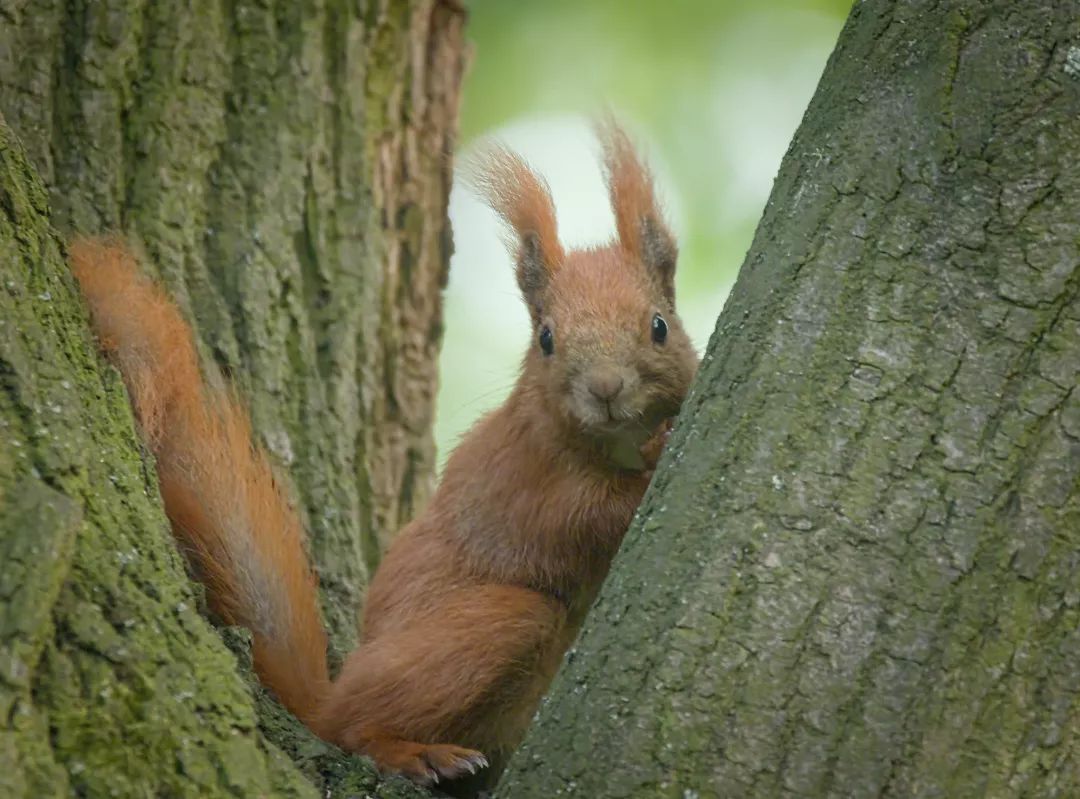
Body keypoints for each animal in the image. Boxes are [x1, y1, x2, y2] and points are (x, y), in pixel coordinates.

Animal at [73, 121, 699, 790]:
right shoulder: (520, 474)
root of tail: (329, 693)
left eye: (660, 326)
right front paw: (651, 462)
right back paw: (411, 752)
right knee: (353, 725)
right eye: (547, 339)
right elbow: (574, 516)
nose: (605, 388)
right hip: (492, 626)